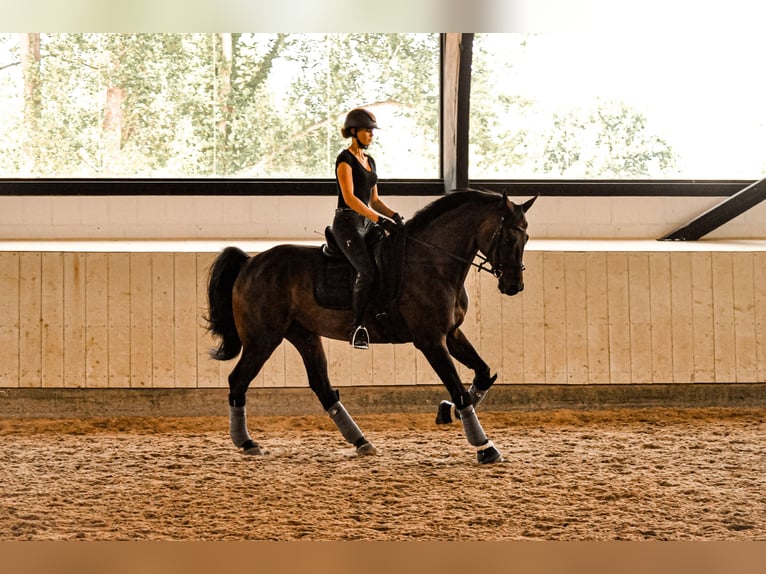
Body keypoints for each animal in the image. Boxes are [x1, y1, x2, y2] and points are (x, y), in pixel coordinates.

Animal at [207, 189, 536, 464]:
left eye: (526, 238)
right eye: (509, 239)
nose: (514, 286)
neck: (433, 262)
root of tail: (250, 263)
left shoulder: (451, 333)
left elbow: (483, 373)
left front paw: (449, 411)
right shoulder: (430, 340)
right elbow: (459, 389)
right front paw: (485, 447)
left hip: (303, 335)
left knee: (323, 388)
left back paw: (361, 442)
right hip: (263, 339)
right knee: (238, 381)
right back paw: (247, 443)